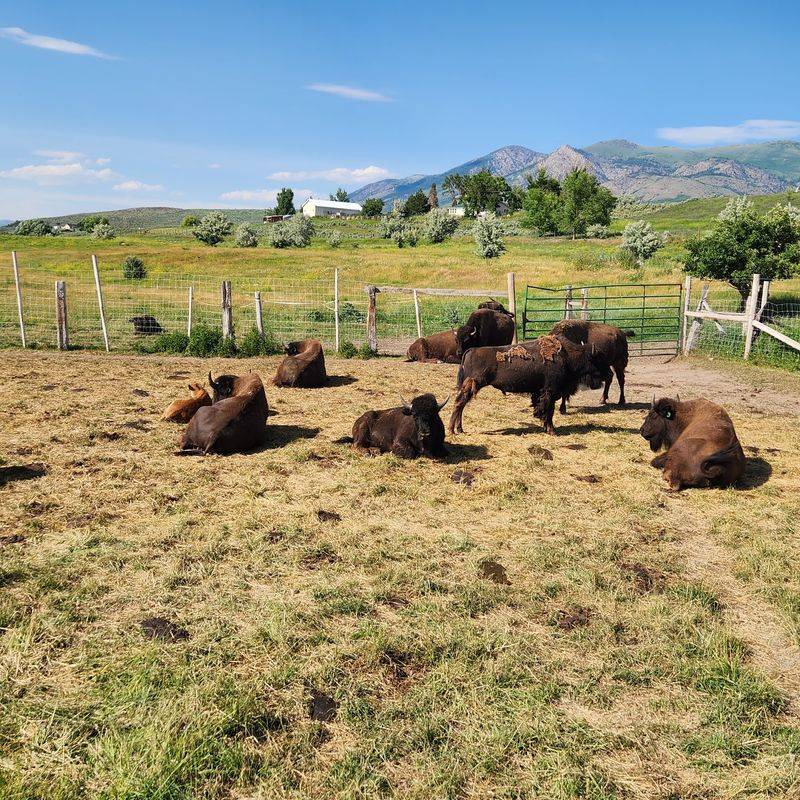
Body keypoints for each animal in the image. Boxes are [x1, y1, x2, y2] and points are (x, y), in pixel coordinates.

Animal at [448, 334, 610, 436]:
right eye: (599, 358)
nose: (609, 373)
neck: (568, 356)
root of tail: (470, 350)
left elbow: (545, 410)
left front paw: (546, 427)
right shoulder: (550, 392)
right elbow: (549, 411)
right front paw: (552, 431)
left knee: (461, 405)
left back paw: (459, 429)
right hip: (472, 385)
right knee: (459, 403)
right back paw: (452, 430)